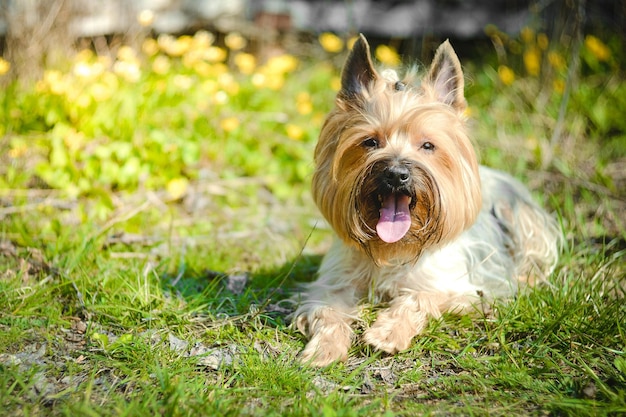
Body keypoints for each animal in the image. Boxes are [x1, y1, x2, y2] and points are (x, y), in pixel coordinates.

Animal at [292, 35, 560, 368]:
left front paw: (386, 334)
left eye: (428, 145)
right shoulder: (334, 281)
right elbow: (327, 310)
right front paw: (324, 349)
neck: (393, 247)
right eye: (370, 142)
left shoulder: (455, 286)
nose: (396, 174)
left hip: (521, 220)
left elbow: (420, 296)